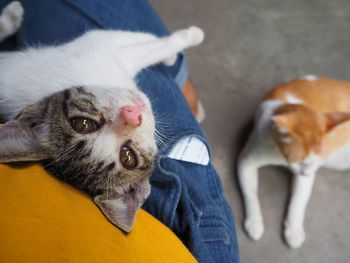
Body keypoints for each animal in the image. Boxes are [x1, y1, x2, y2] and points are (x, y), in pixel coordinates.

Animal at [0, 1, 205, 233]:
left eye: (128, 156)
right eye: (83, 124)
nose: (132, 116)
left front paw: (170, 56)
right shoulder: (99, 43)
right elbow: (152, 43)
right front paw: (190, 36)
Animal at [238, 75, 350, 250]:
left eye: (319, 161)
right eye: (300, 160)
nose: (306, 172)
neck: (279, 155)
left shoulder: (307, 176)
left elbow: (298, 202)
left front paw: (294, 231)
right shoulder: (246, 163)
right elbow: (251, 193)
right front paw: (254, 222)